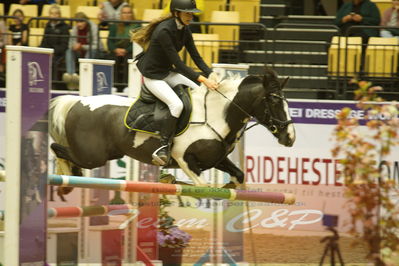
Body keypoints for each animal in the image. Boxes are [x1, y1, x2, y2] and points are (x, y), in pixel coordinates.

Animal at [48, 67, 296, 190]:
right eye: (274, 101)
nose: (290, 138)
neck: (217, 116)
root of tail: (76, 102)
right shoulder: (185, 160)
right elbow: (202, 185)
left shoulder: (216, 159)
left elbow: (238, 175)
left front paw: (228, 187)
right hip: (92, 156)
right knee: (58, 150)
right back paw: (66, 179)